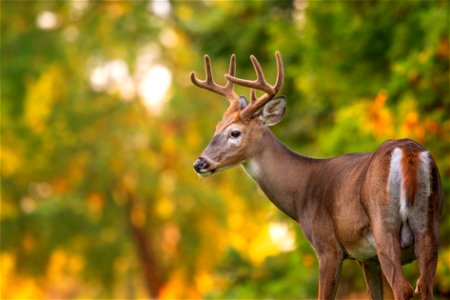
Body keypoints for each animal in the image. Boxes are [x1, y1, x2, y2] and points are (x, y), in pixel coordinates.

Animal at [191, 51, 442, 300]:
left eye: (235, 133)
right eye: (216, 128)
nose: (199, 163)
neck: (301, 191)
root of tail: (408, 151)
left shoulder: (327, 246)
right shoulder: (366, 258)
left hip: (384, 224)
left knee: (403, 287)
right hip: (429, 225)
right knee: (424, 285)